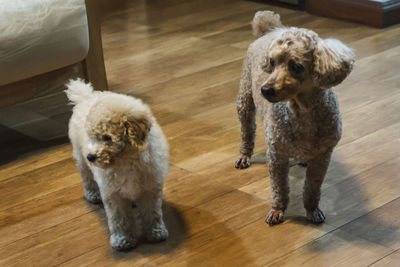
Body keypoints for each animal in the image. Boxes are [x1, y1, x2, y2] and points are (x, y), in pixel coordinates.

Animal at [65, 79, 169, 251]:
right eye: (91, 137)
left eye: (108, 137)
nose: (91, 156)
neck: (126, 161)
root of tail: (86, 96)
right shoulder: (113, 193)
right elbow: (119, 219)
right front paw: (122, 239)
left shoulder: (150, 187)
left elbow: (152, 212)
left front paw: (156, 232)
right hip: (80, 158)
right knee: (87, 178)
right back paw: (92, 194)